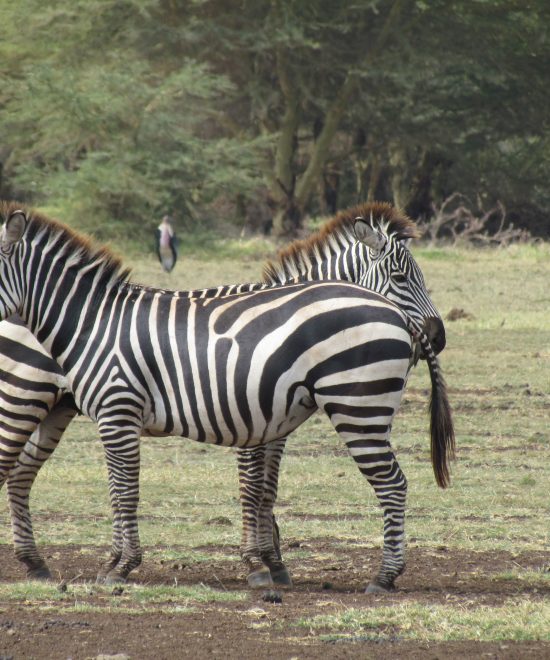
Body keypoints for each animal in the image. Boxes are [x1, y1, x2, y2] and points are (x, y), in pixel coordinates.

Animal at [0, 202, 454, 592]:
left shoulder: (248, 417)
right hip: (27, 399)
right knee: (17, 473)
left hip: (359, 407)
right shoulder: (249, 419)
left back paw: (384, 577)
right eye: (401, 277)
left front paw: (263, 564)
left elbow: (249, 490)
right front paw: (264, 563)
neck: (92, 322)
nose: (437, 337)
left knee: (392, 483)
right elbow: (252, 489)